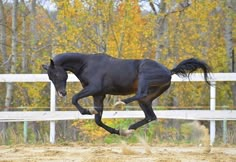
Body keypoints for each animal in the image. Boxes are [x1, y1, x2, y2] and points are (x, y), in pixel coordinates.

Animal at [42, 53, 210, 135]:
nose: (62, 93)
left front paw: (87, 111)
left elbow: (75, 98)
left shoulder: (94, 89)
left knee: (141, 94)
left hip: (144, 77)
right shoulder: (98, 95)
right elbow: (98, 120)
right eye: (50, 77)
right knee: (150, 115)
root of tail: (169, 71)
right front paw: (116, 131)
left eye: (56, 74)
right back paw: (127, 130)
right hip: (148, 98)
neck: (87, 64)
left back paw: (120, 104)